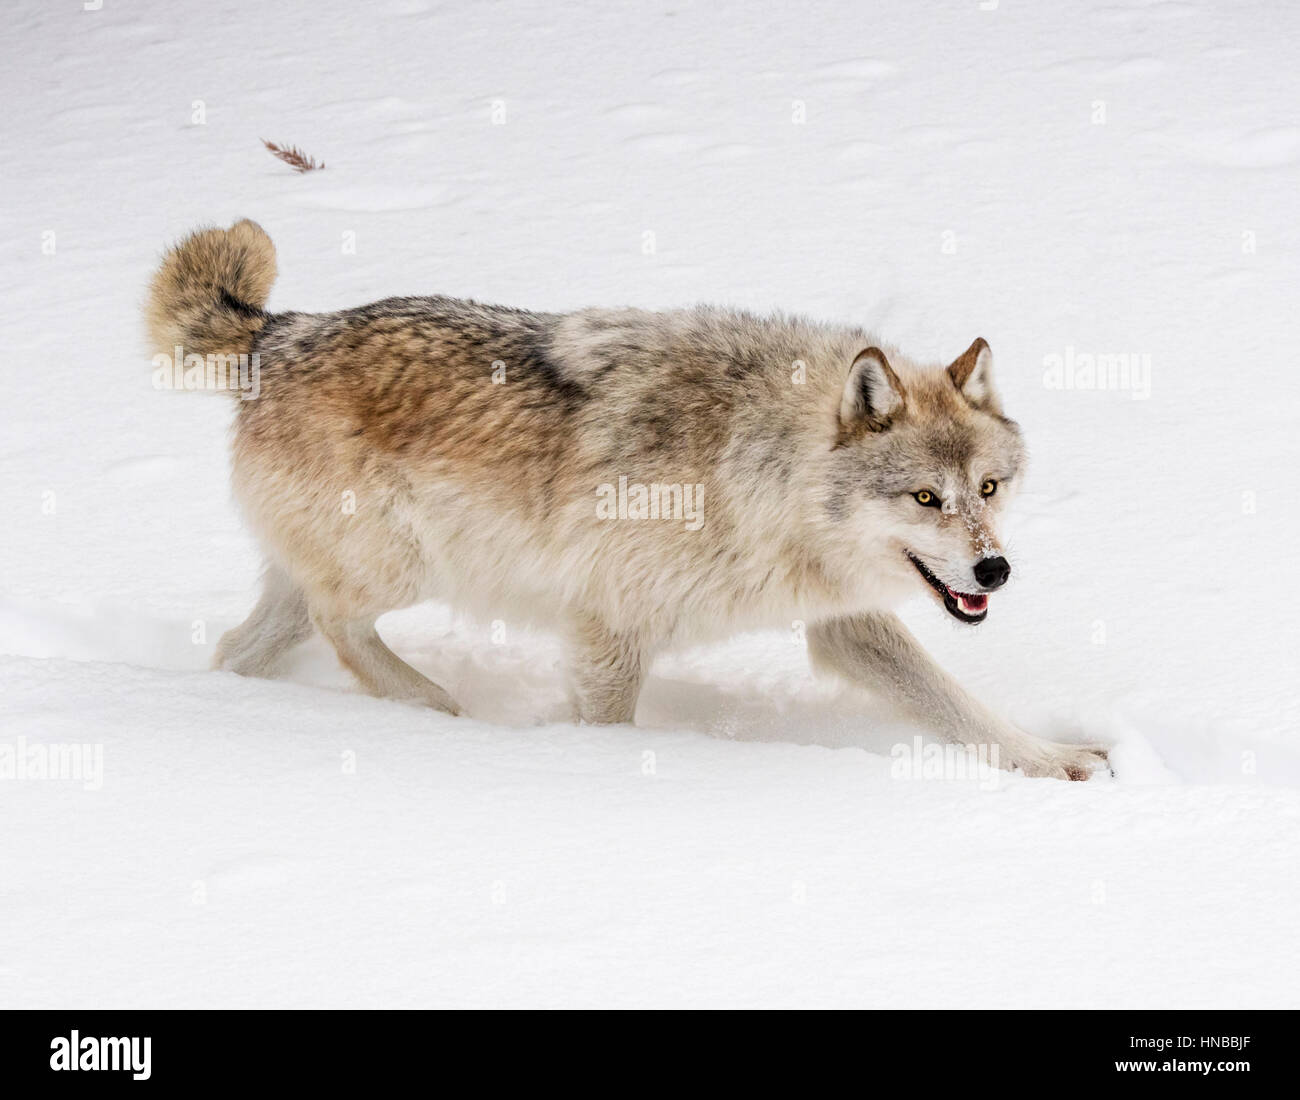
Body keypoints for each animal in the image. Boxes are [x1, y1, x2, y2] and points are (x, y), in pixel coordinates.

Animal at [145, 219, 1108, 780]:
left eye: (988, 488)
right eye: (924, 496)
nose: (996, 569)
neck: (752, 462)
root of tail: (279, 331)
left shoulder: (842, 622)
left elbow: (957, 705)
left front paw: (1057, 762)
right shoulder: (609, 630)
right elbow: (608, 726)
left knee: (240, 647)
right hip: (400, 567)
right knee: (341, 628)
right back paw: (439, 712)